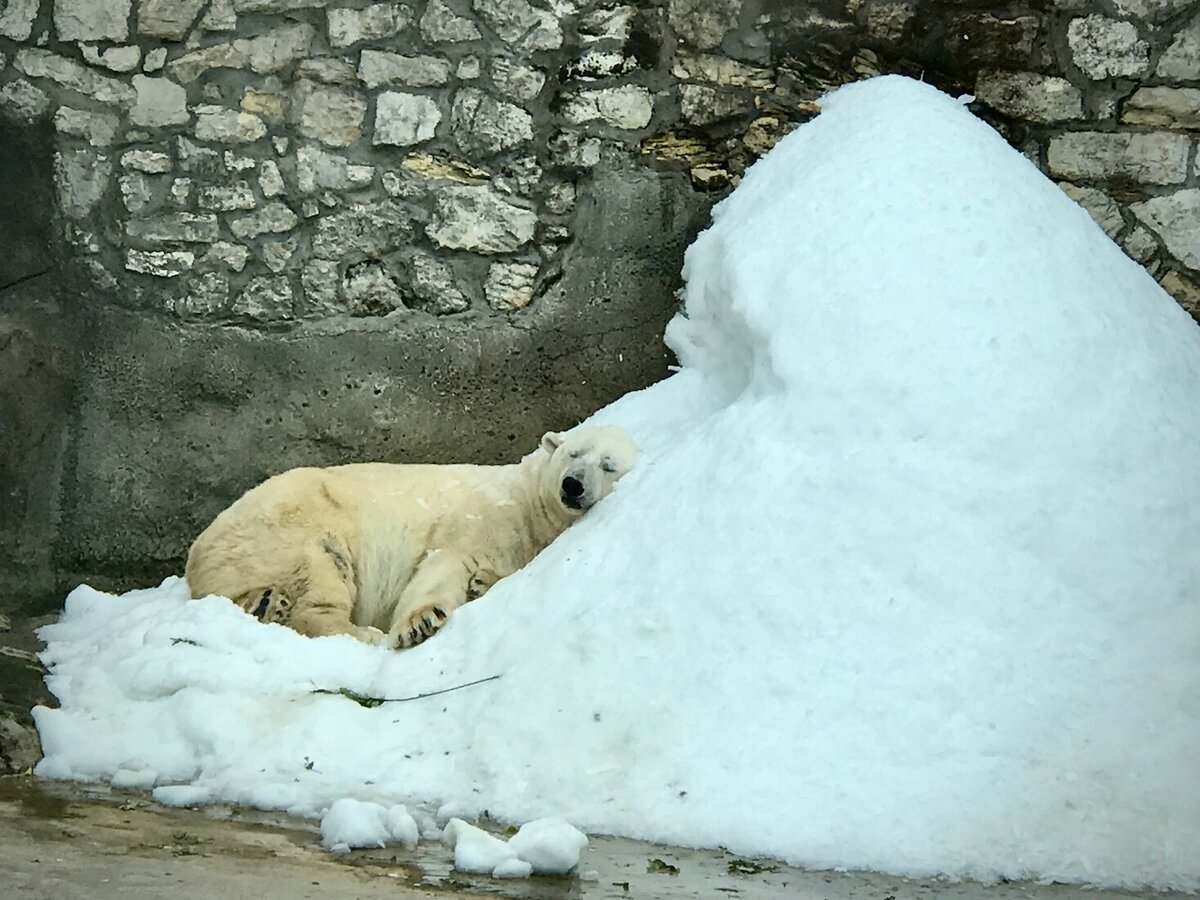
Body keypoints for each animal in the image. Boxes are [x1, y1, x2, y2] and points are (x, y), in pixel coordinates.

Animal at [184, 427, 638, 648]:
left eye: (608, 465)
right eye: (572, 453)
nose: (572, 485)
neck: (529, 507)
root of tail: (197, 553)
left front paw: (482, 583)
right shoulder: (482, 519)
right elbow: (444, 562)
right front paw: (419, 624)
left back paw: (265, 602)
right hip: (293, 526)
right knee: (320, 575)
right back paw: (360, 633)